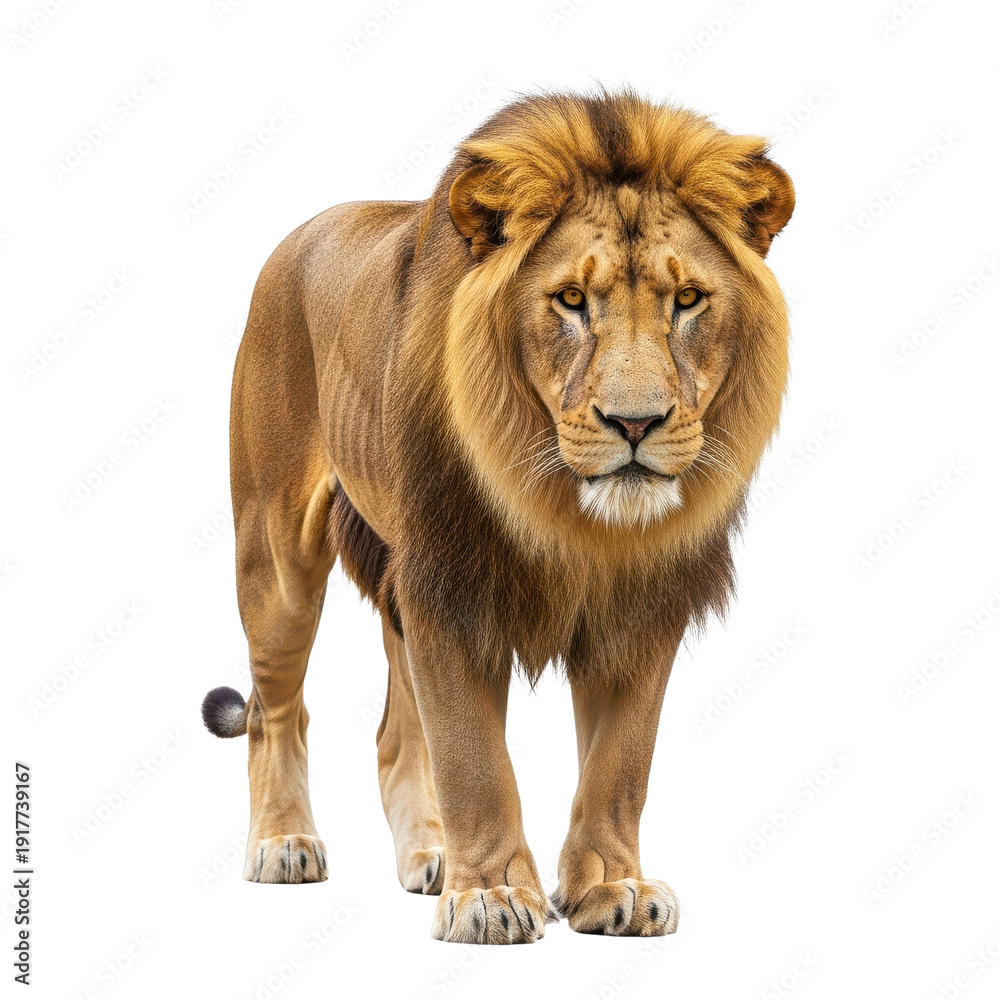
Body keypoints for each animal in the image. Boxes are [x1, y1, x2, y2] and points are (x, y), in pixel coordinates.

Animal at [201, 89, 794, 944]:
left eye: (687, 301)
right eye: (571, 301)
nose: (636, 423)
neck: (565, 512)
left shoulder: (644, 602)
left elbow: (621, 763)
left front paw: (612, 887)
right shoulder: (450, 583)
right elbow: (474, 758)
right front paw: (490, 897)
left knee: (394, 736)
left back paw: (431, 855)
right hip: (276, 552)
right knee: (275, 709)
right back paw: (285, 842)